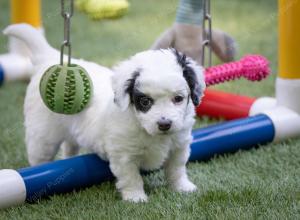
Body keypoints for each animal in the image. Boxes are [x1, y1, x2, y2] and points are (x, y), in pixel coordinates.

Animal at [4, 23, 205, 201]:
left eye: (178, 98)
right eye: (145, 101)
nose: (164, 124)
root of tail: (50, 59)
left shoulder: (179, 145)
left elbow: (177, 169)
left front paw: (182, 188)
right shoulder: (124, 155)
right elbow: (131, 177)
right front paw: (136, 197)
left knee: (69, 147)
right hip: (42, 136)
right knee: (40, 157)